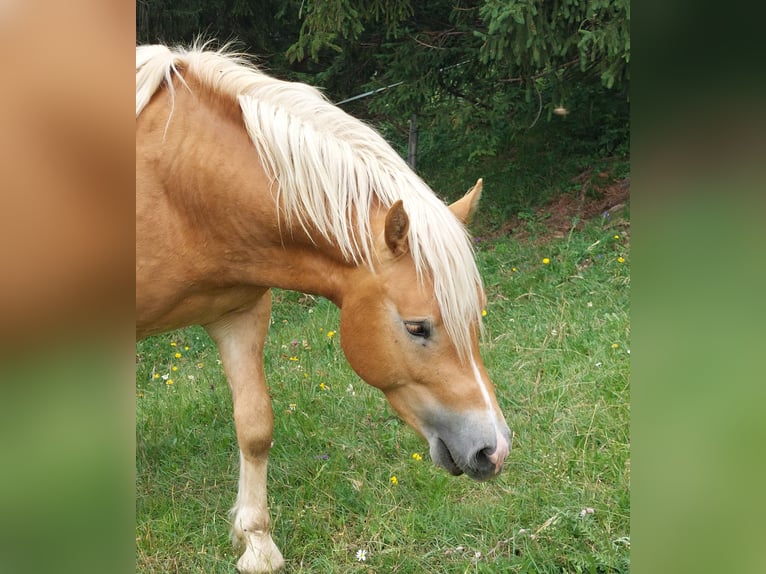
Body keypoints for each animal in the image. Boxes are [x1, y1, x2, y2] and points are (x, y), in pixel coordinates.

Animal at [136, 42, 512, 572]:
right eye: (417, 327)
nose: (493, 451)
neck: (176, 187)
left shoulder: (239, 316)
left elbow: (255, 425)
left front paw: (257, 543)